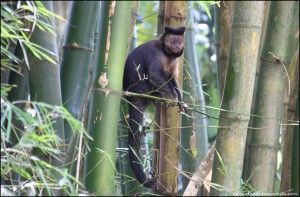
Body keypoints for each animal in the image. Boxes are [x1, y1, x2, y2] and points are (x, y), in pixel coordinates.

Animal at [122, 26, 185, 189]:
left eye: (179, 40)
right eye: (172, 40)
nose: (176, 45)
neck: (167, 53)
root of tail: (131, 98)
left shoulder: (175, 60)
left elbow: (171, 77)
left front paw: (180, 99)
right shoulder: (158, 54)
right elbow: (155, 74)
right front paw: (173, 97)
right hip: (141, 89)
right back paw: (160, 96)